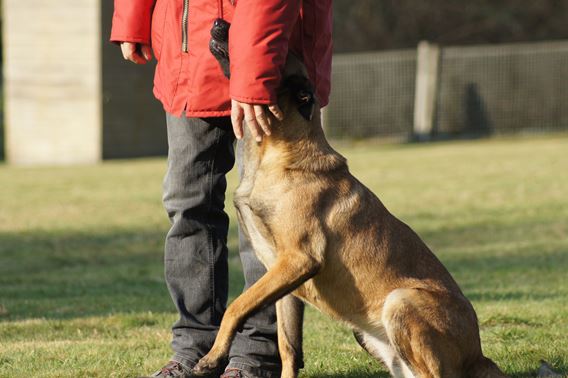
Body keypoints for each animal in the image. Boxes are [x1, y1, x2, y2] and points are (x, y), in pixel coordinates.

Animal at [193, 54, 508, 378]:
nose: (217, 37)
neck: (279, 157)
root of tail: (479, 357)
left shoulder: (298, 259)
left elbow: (235, 306)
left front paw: (212, 358)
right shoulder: (282, 278)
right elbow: (288, 347)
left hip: (400, 301)